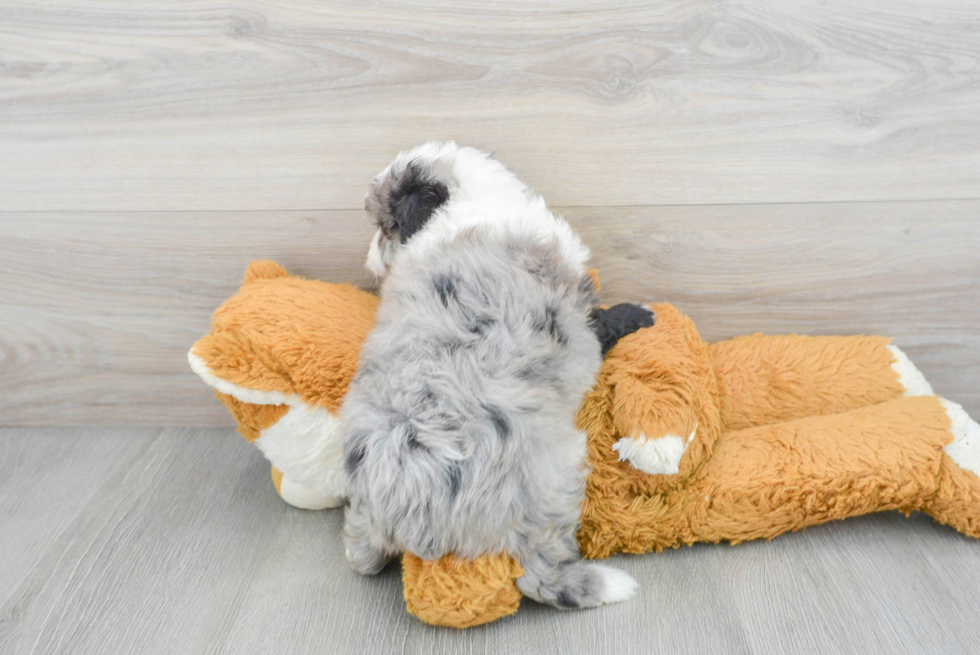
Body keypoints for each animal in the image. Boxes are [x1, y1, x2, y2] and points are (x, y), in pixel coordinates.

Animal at [340, 142, 656, 608]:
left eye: (385, 228)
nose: (368, 259)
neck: (472, 204)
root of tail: (399, 513)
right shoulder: (581, 313)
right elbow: (605, 321)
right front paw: (639, 314)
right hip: (549, 481)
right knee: (538, 576)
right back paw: (605, 583)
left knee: (359, 552)